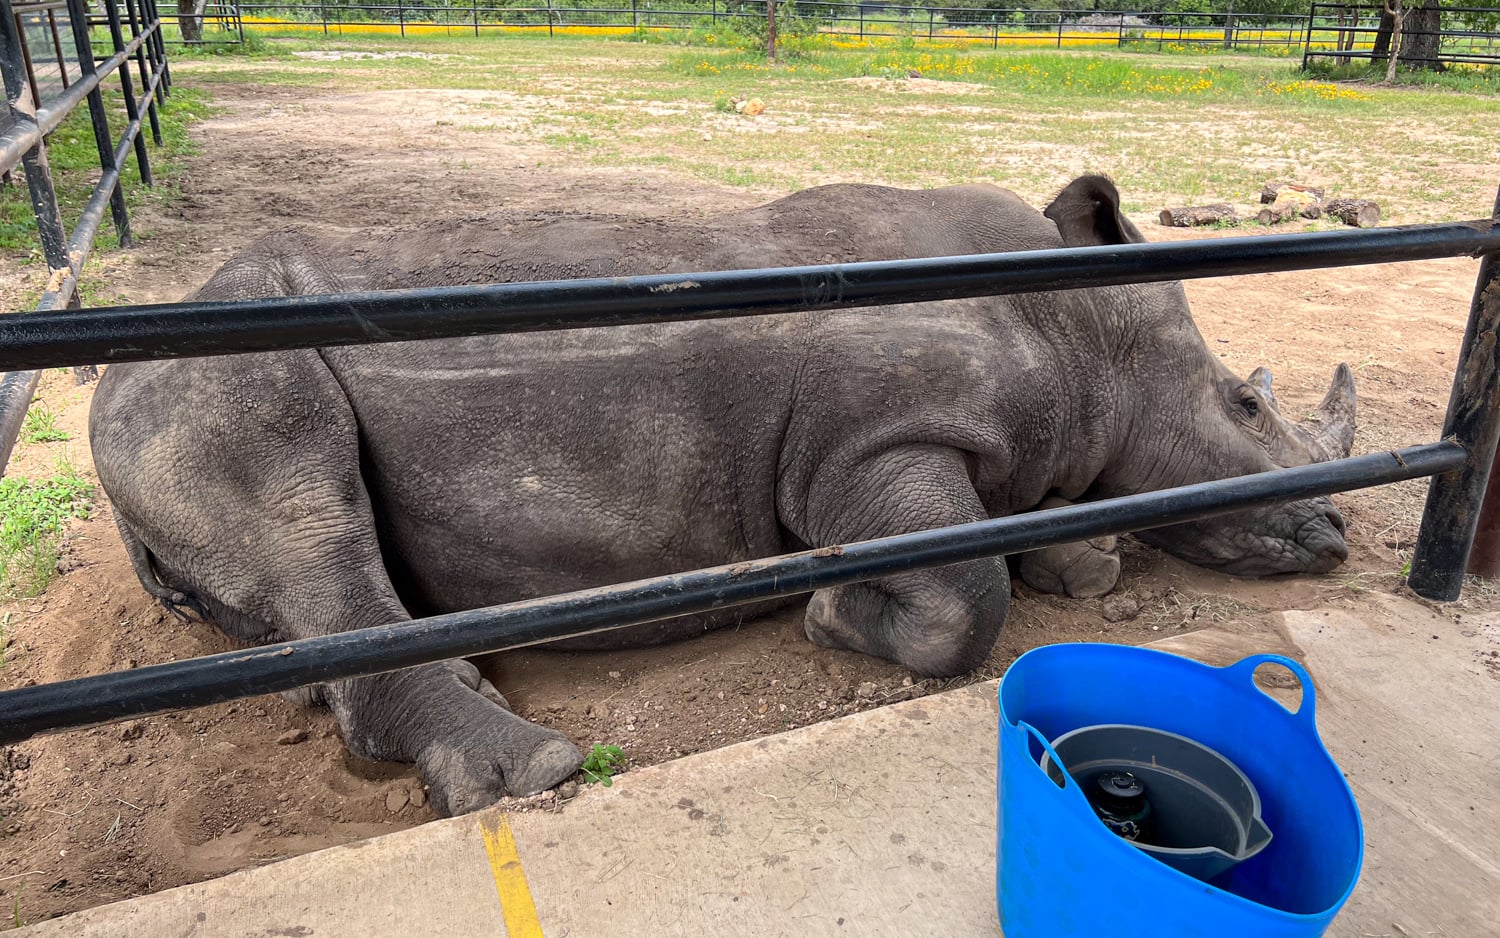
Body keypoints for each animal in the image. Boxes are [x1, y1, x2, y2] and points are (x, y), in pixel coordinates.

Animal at [90, 174, 1362, 810]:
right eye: (1246, 409)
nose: (1340, 530)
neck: (1078, 322)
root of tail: (104, 378)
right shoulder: (864, 445)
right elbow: (964, 596)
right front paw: (833, 613)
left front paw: (1082, 561)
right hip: (209, 378)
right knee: (304, 502)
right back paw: (531, 771)